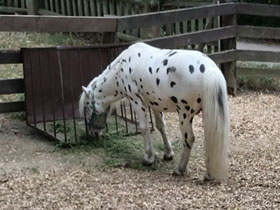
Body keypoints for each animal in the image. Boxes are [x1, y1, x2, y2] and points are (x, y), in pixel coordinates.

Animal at [79, 42, 230, 182]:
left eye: (86, 107)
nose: (92, 133)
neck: (121, 68)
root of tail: (210, 69)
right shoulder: (155, 105)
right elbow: (161, 126)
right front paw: (168, 153)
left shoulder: (136, 101)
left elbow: (144, 128)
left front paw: (148, 158)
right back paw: (209, 174)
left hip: (185, 115)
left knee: (189, 139)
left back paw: (180, 169)